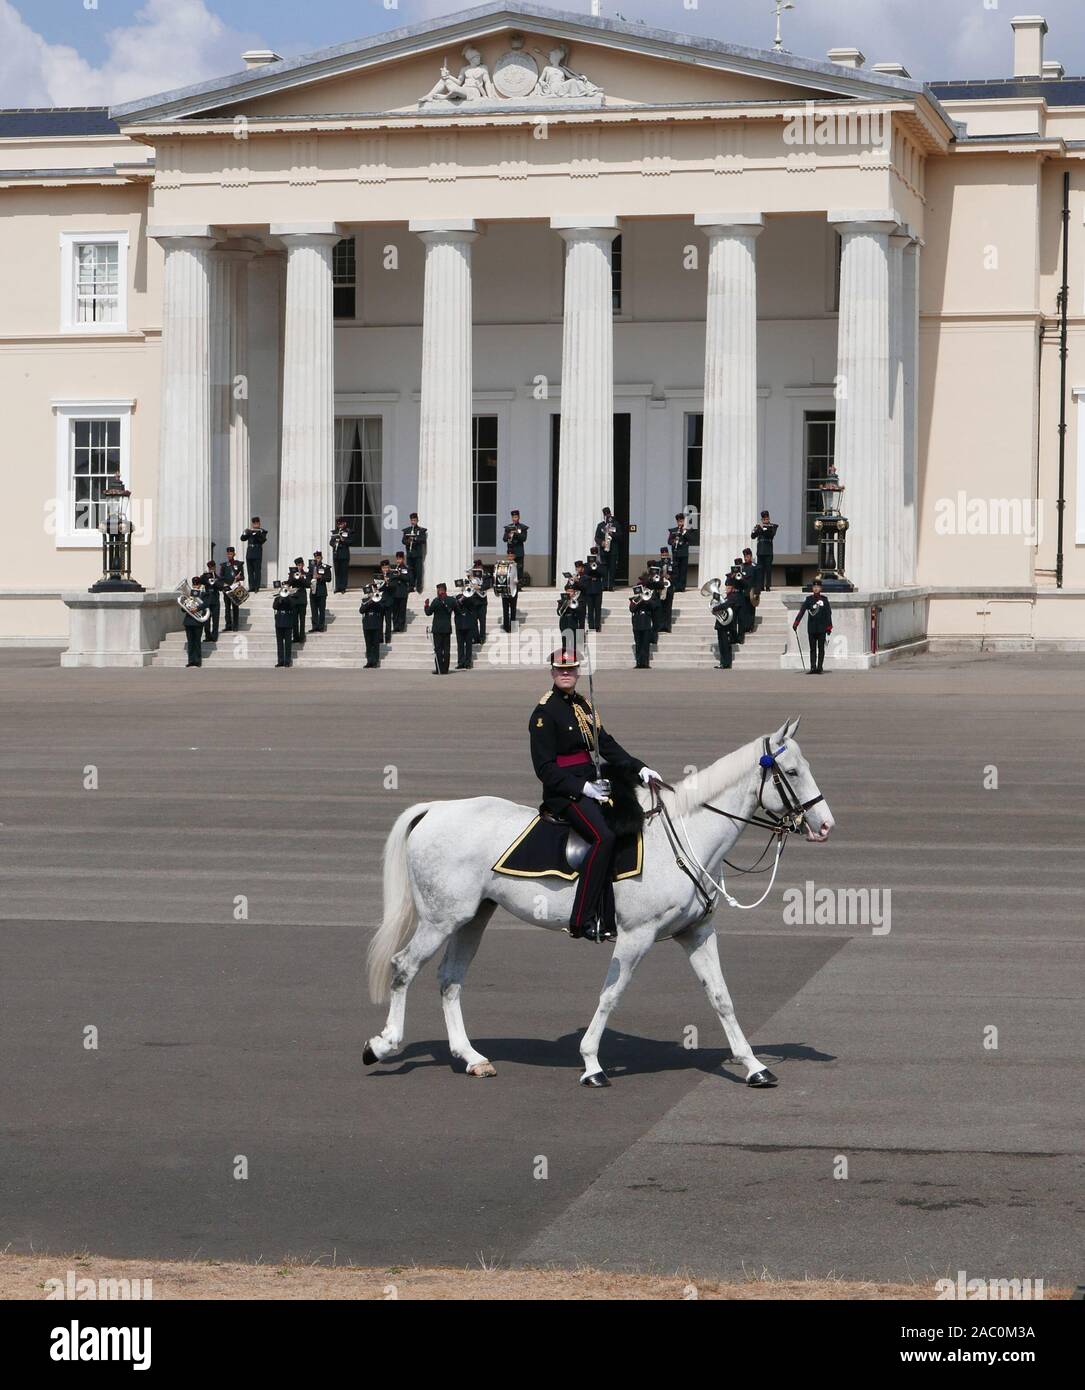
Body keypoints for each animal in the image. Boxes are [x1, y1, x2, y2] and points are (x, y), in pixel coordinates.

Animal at [363, 722, 827, 1089]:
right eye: (791, 772)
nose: (825, 825)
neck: (683, 836)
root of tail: (435, 809)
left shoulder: (695, 933)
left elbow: (721, 998)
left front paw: (753, 1065)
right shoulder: (636, 936)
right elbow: (610, 995)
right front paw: (591, 1064)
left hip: (471, 919)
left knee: (449, 979)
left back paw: (472, 1057)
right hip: (440, 921)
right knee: (404, 966)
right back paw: (383, 1044)